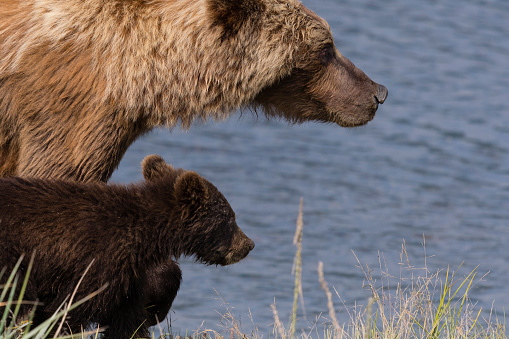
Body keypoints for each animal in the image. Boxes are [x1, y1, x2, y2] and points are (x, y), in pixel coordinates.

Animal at [0, 155, 254, 338]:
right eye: (230, 218)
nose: (248, 245)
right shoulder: (98, 260)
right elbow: (69, 309)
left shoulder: (127, 279)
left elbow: (127, 321)